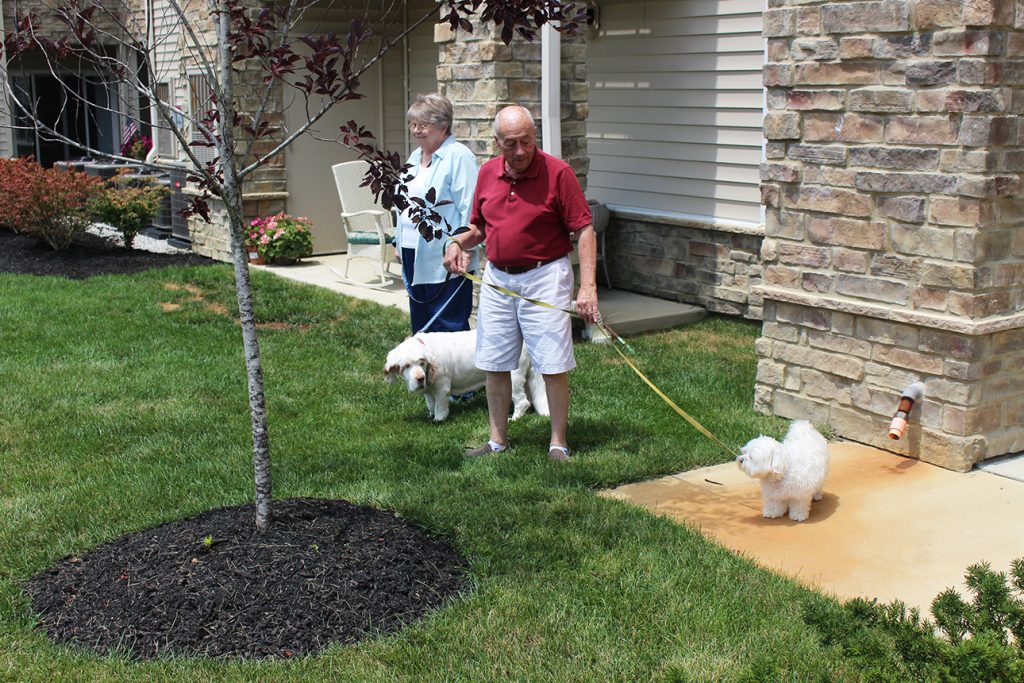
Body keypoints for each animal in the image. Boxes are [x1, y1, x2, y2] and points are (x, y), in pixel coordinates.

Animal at [382, 329, 548, 421]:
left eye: (421, 362)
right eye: (406, 366)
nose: (420, 378)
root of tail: (525, 342)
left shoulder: (441, 388)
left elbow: (440, 406)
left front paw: (438, 419)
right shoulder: (428, 391)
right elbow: (430, 404)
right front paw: (430, 415)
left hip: (513, 378)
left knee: (523, 402)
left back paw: (514, 419)